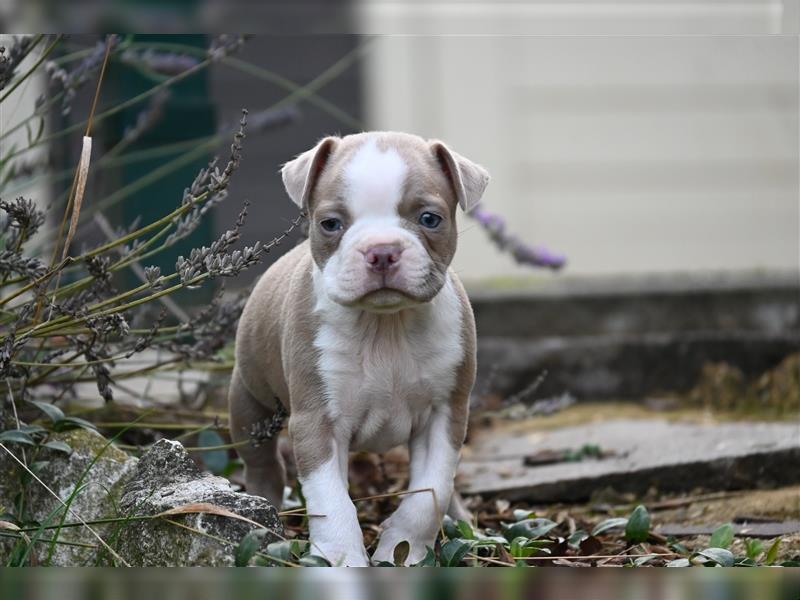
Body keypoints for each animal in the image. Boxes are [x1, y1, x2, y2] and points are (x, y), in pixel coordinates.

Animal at [230, 131, 488, 568]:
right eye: (331, 224)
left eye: (429, 219)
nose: (382, 250)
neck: (385, 326)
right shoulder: (317, 422)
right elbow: (331, 501)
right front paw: (341, 560)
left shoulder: (445, 416)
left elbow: (429, 494)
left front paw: (402, 551)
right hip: (249, 403)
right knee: (263, 462)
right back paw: (263, 513)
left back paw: (463, 525)